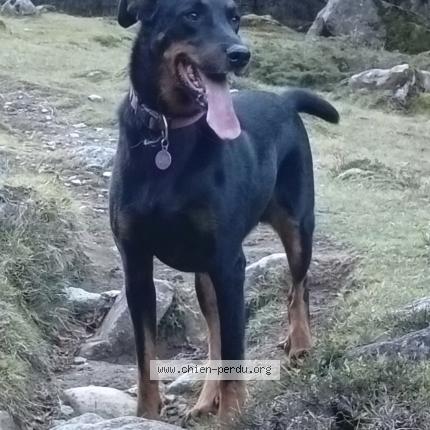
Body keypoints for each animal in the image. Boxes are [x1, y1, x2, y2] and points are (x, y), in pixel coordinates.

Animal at [110, 0, 339, 425]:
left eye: (235, 18)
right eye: (191, 15)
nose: (241, 55)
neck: (169, 134)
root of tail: (283, 100)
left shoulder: (229, 263)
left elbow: (235, 350)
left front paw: (233, 417)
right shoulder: (136, 264)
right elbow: (146, 355)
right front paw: (145, 416)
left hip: (297, 228)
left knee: (298, 287)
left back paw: (300, 342)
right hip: (205, 276)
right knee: (215, 335)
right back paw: (204, 401)